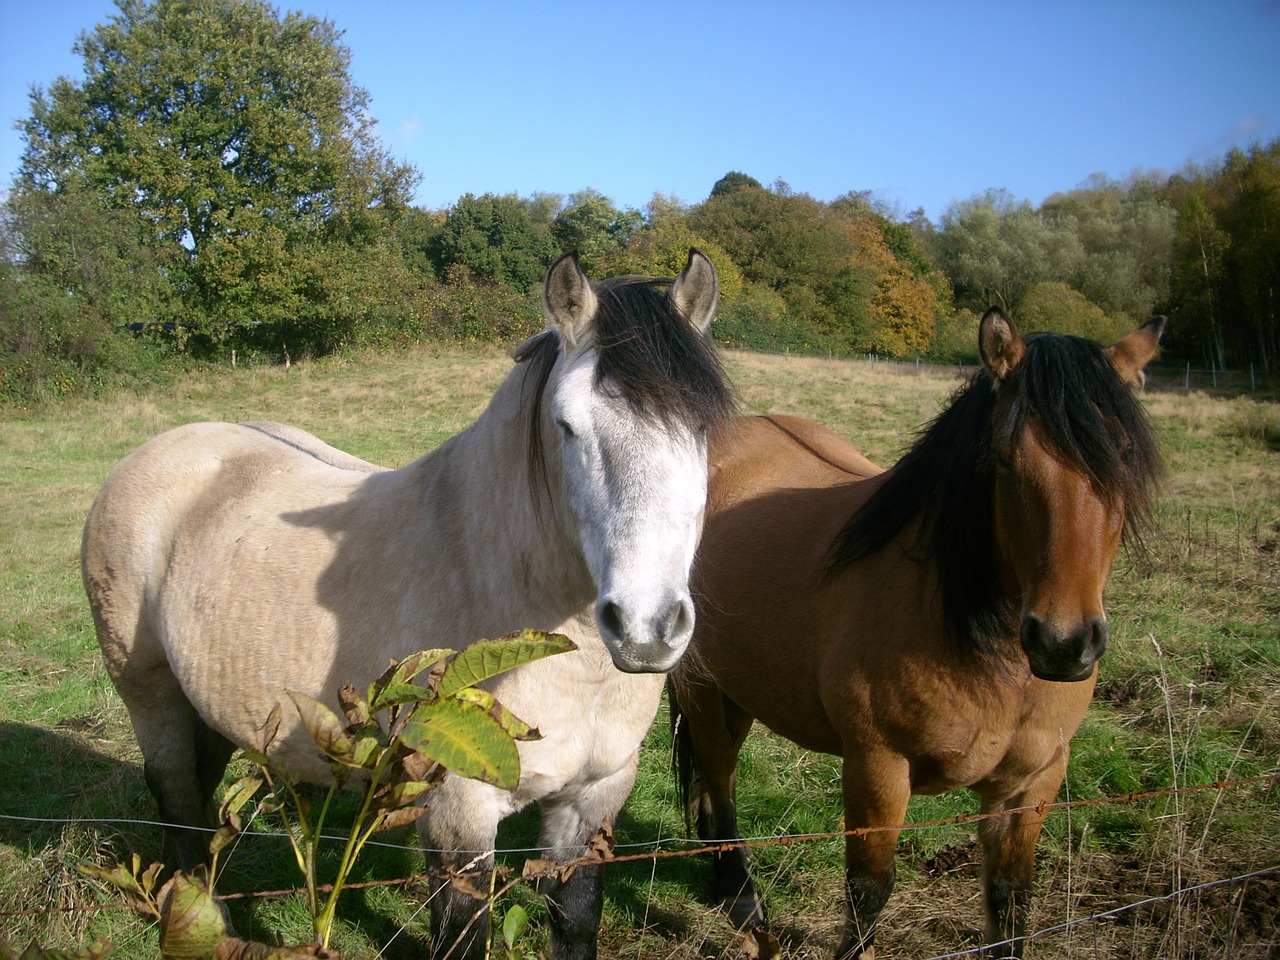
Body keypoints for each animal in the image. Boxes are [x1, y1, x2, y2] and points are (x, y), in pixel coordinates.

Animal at [82, 249, 732, 960]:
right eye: (567, 426)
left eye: (705, 429)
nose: (645, 628)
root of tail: (164, 449)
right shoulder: (458, 813)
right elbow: (462, 931)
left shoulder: (593, 802)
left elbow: (576, 921)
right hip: (150, 694)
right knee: (175, 795)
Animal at [670, 309, 1172, 960]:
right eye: (1002, 459)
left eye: (1126, 458)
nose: (1063, 644)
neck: (986, 649)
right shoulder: (877, 768)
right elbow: (868, 891)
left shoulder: (1032, 784)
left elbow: (1011, 901)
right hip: (702, 688)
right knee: (719, 774)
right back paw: (739, 893)